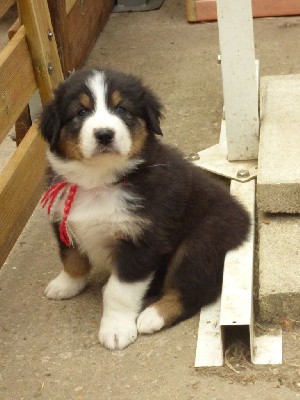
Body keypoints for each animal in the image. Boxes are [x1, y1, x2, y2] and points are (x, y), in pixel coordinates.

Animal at [40, 69, 251, 350]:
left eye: (121, 109)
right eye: (81, 112)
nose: (104, 134)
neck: (100, 181)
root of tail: (244, 220)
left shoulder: (140, 240)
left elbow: (118, 291)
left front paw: (116, 330)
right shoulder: (62, 221)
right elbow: (71, 257)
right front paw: (66, 284)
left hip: (200, 243)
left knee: (194, 290)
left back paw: (153, 315)